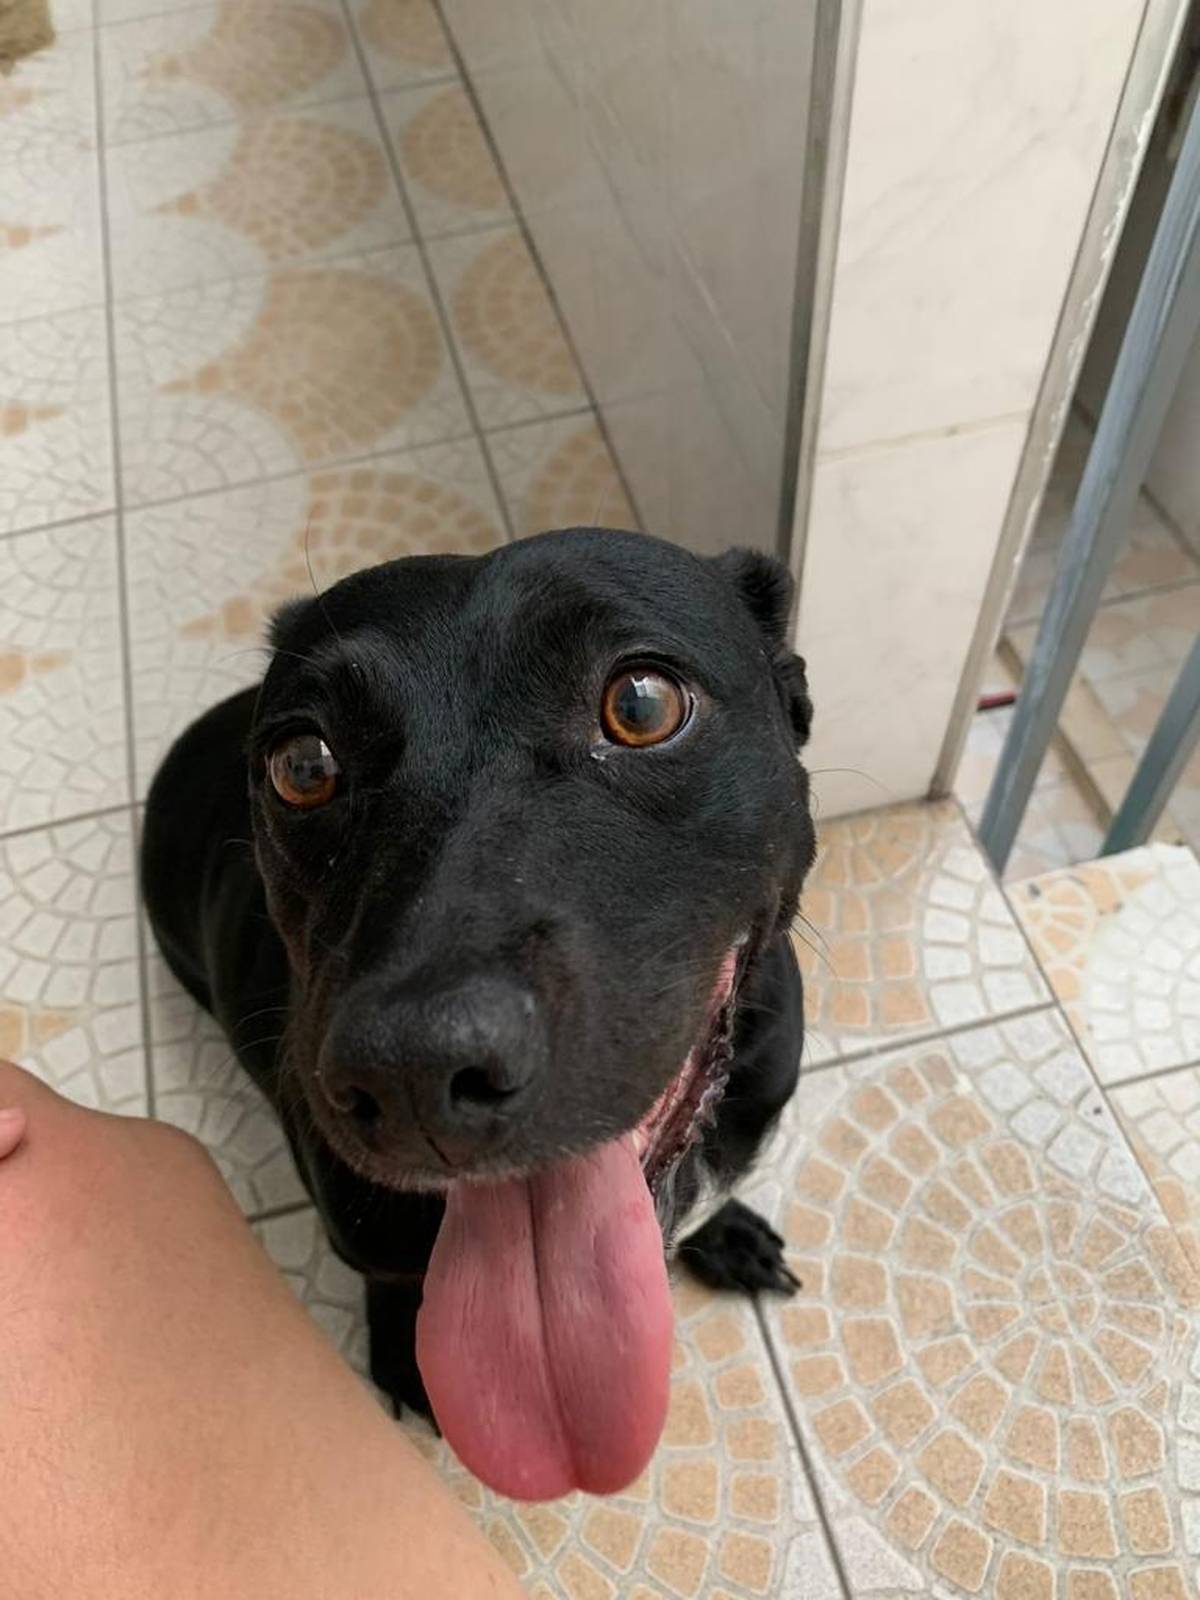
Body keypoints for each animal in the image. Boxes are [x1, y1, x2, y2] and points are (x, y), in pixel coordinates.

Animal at [141, 527, 815, 1501]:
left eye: (642, 704)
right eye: (304, 764)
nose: (413, 1074)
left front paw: (724, 1232)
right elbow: (388, 1280)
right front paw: (401, 1352)